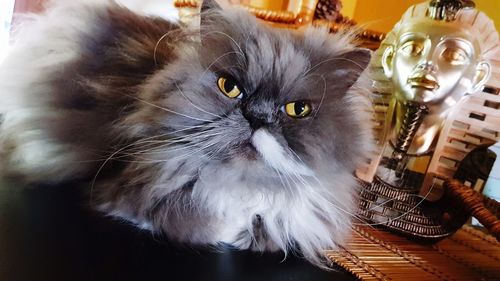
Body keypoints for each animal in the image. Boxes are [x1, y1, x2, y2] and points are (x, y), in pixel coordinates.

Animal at [0, 0, 374, 264]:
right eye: (230, 87)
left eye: (298, 110)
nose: (255, 117)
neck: (237, 187)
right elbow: (200, 221)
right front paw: (227, 229)